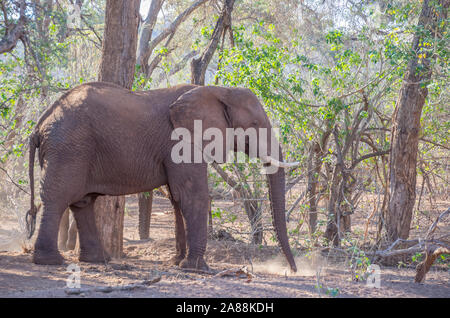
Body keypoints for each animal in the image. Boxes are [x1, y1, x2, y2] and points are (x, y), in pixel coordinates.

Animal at [26, 80, 298, 272]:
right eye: (254, 124)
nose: (293, 270)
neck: (217, 90)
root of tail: (39, 125)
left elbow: (177, 198)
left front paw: (178, 262)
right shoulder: (183, 140)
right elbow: (193, 194)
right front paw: (198, 269)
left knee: (82, 202)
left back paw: (98, 260)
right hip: (68, 148)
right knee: (58, 197)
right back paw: (51, 261)